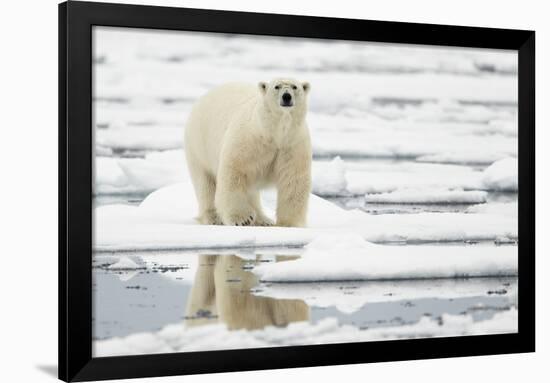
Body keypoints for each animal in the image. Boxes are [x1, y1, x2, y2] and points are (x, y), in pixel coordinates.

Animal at [185, 78, 312, 228]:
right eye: (277, 86)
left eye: (294, 87)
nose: (286, 96)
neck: (273, 133)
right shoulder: (249, 140)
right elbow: (235, 172)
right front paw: (242, 219)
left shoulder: (292, 145)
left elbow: (293, 181)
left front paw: (289, 224)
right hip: (199, 145)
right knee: (206, 183)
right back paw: (214, 218)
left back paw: (263, 220)